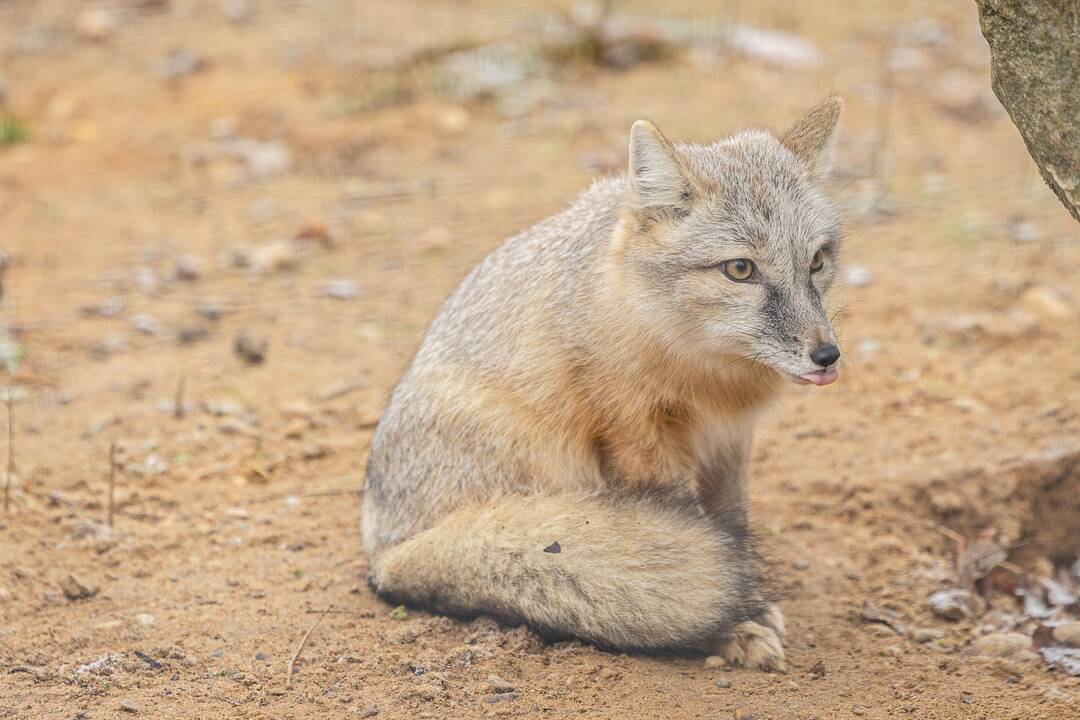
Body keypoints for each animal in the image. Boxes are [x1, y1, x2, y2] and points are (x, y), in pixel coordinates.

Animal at [362, 95, 842, 669]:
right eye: (740, 270)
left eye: (817, 261)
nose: (827, 355)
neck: (707, 375)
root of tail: (384, 553)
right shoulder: (638, 439)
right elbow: (698, 538)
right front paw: (734, 622)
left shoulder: (729, 440)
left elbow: (731, 525)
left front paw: (745, 599)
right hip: (549, 462)